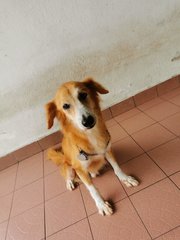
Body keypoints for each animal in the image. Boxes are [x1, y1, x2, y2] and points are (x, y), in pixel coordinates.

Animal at [45, 78, 139, 216]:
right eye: (65, 106)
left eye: (83, 94)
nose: (87, 121)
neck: (90, 134)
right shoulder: (80, 170)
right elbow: (92, 189)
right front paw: (102, 204)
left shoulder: (107, 150)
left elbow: (117, 168)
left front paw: (125, 178)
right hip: (69, 167)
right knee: (68, 175)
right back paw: (70, 182)